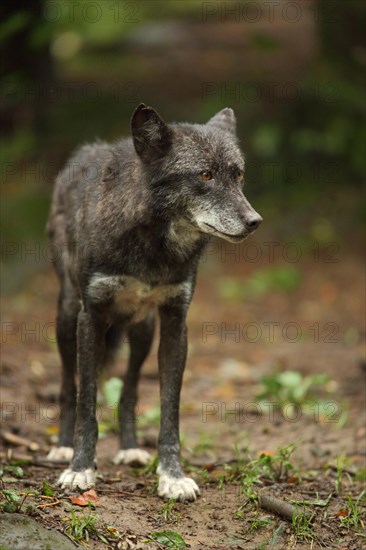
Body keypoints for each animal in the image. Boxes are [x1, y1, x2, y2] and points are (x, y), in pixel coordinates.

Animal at [47, 101, 262, 502]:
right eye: (205, 175)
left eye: (238, 175)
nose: (254, 221)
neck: (153, 245)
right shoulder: (91, 318)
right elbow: (87, 403)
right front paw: (81, 468)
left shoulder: (176, 323)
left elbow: (169, 409)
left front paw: (172, 476)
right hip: (67, 318)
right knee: (69, 385)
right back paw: (63, 446)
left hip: (143, 331)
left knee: (129, 389)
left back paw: (130, 448)